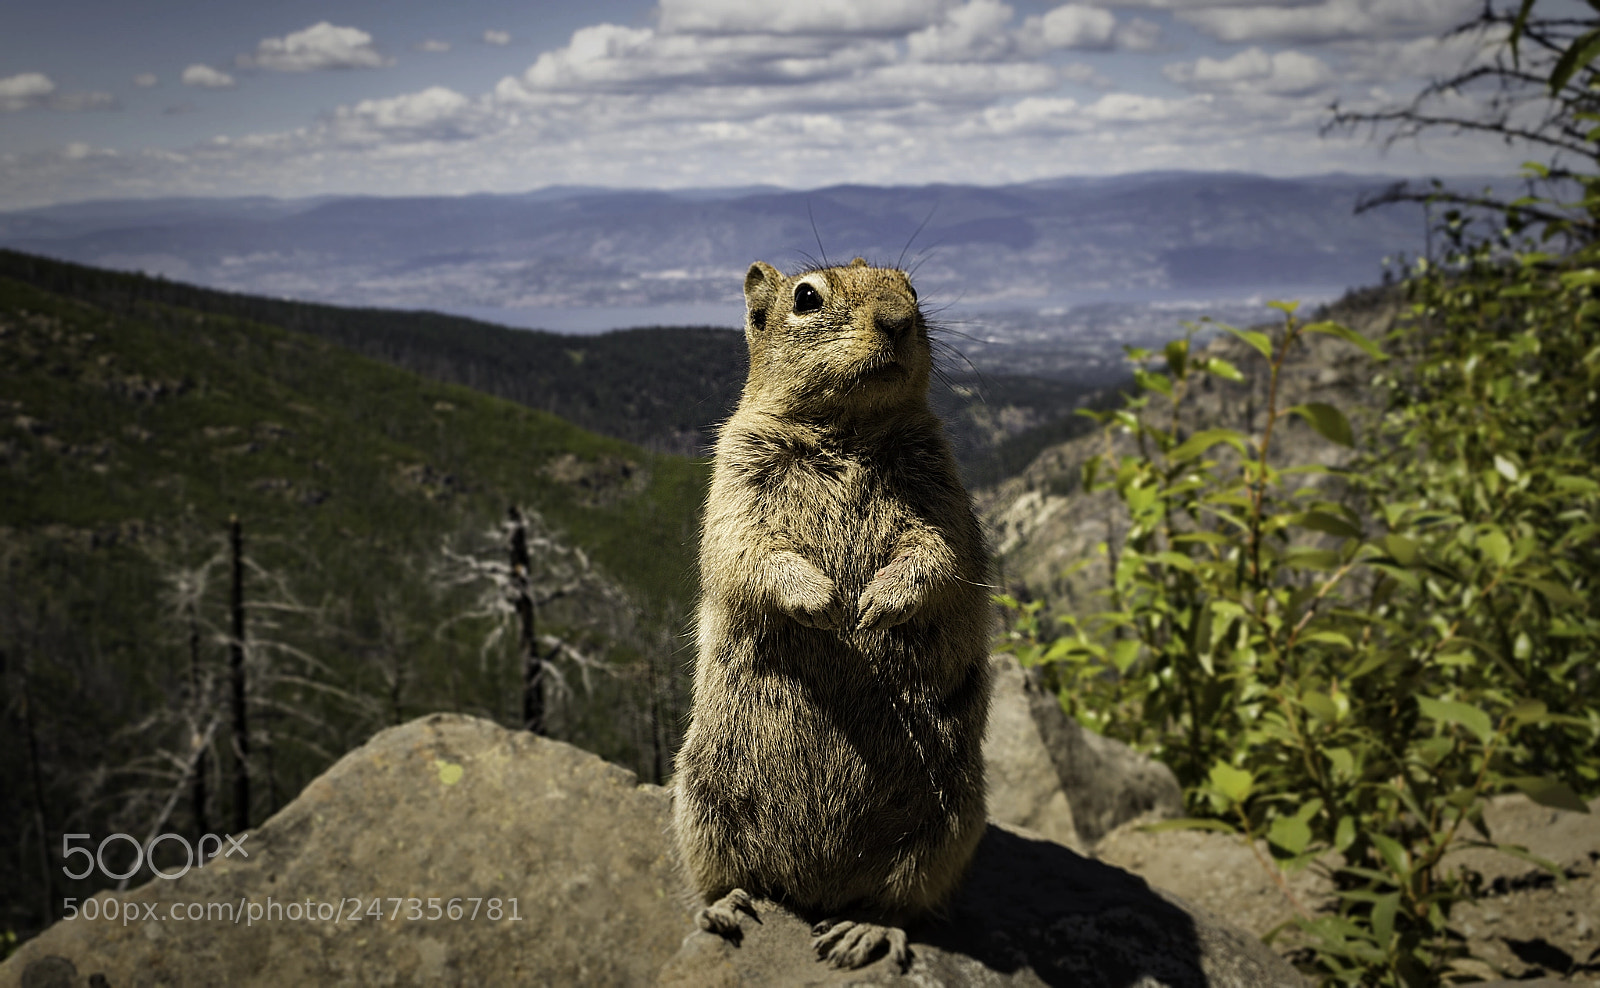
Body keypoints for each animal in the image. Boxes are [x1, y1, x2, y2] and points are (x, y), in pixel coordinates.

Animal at [672, 257, 993, 971]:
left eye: (913, 289)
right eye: (806, 297)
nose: (899, 320)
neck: (846, 431)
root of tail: (814, 885)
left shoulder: (946, 492)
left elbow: (939, 553)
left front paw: (876, 603)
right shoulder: (734, 479)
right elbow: (747, 550)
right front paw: (824, 602)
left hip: (950, 824)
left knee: (901, 899)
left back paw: (864, 931)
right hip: (699, 801)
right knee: (721, 875)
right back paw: (728, 908)